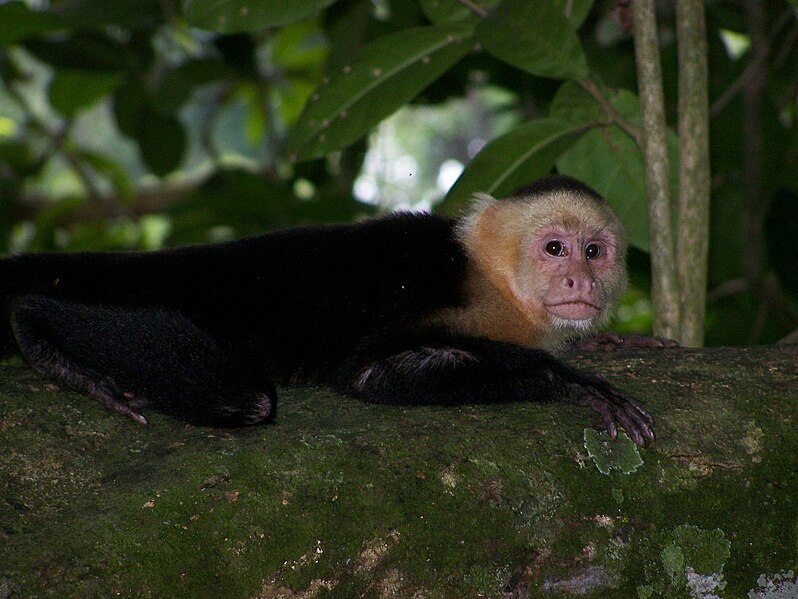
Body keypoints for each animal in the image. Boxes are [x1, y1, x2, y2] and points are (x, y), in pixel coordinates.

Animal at [1, 173, 668, 446]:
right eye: (554, 249)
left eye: (594, 251)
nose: (580, 278)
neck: (496, 283)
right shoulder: (459, 294)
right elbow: (374, 373)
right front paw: (571, 383)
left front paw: (608, 343)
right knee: (250, 399)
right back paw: (38, 330)